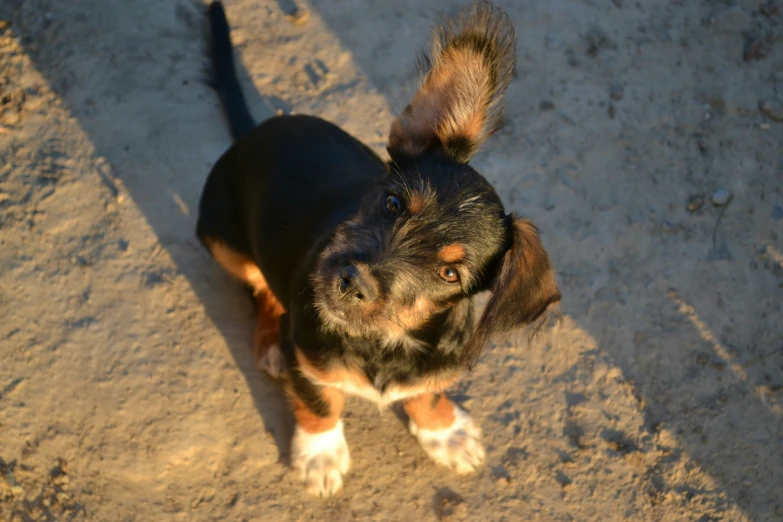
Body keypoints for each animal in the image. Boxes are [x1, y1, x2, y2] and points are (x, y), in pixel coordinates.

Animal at [199, 0, 560, 496]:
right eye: (393, 203)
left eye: (450, 273)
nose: (351, 281)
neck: (385, 340)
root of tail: (256, 132)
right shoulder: (308, 360)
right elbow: (320, 400)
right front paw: (320, 453)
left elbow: (425, 390)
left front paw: (444, 432)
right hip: (222, 240)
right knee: (261, 290)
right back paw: (271, 343)